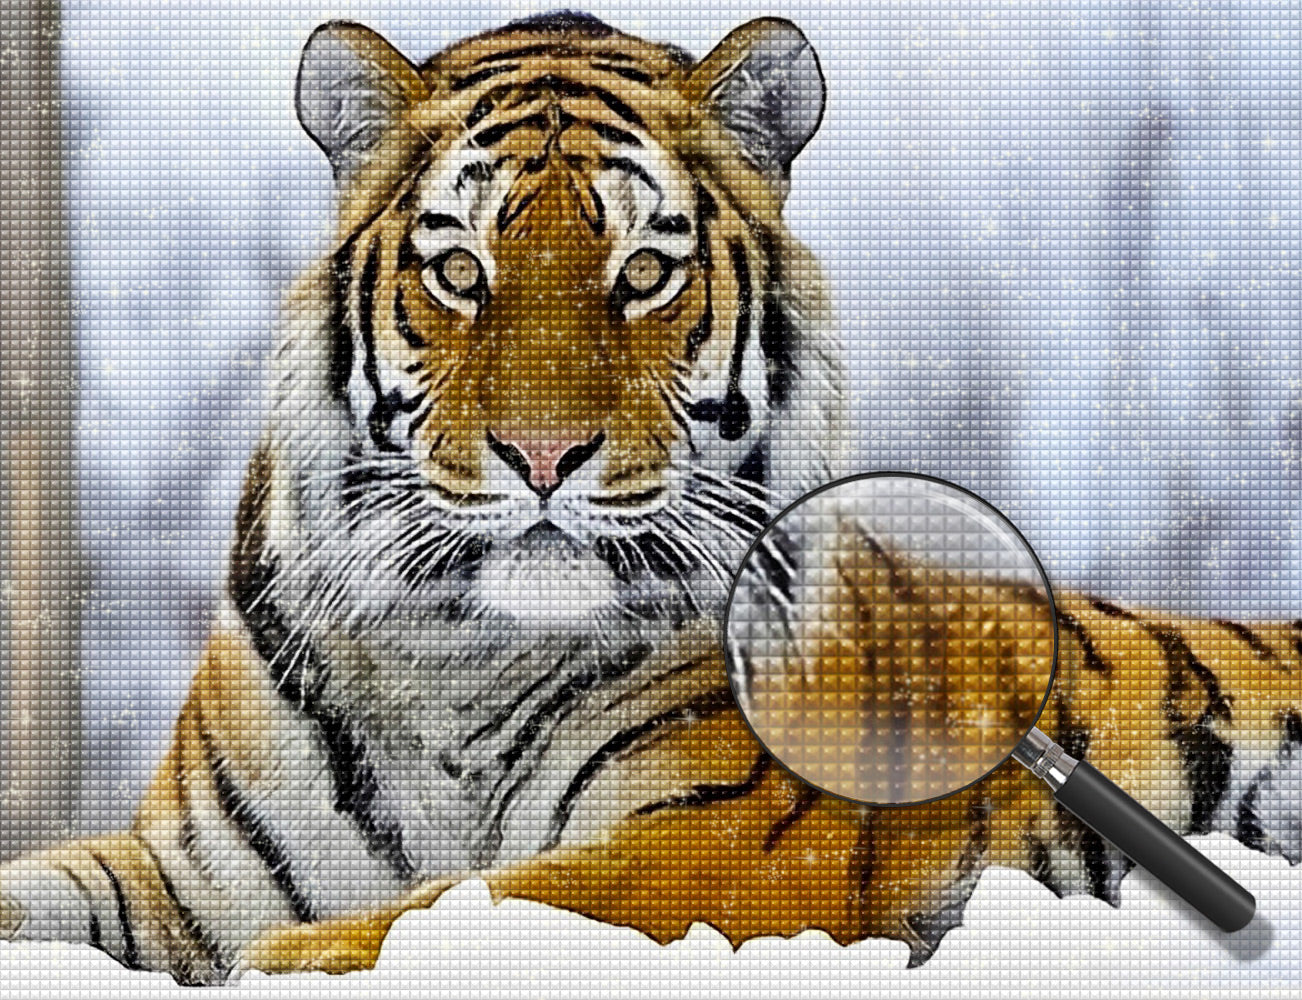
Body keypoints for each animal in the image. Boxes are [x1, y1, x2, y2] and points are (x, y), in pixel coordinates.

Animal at [1, 12, 1298, 985]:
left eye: (643, 273)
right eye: (460, 269)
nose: (541, 455)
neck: (454, 655)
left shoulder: (716, 839)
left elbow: (463, 908)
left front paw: (293, 960)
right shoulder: (191, 872)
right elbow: (43, 888)